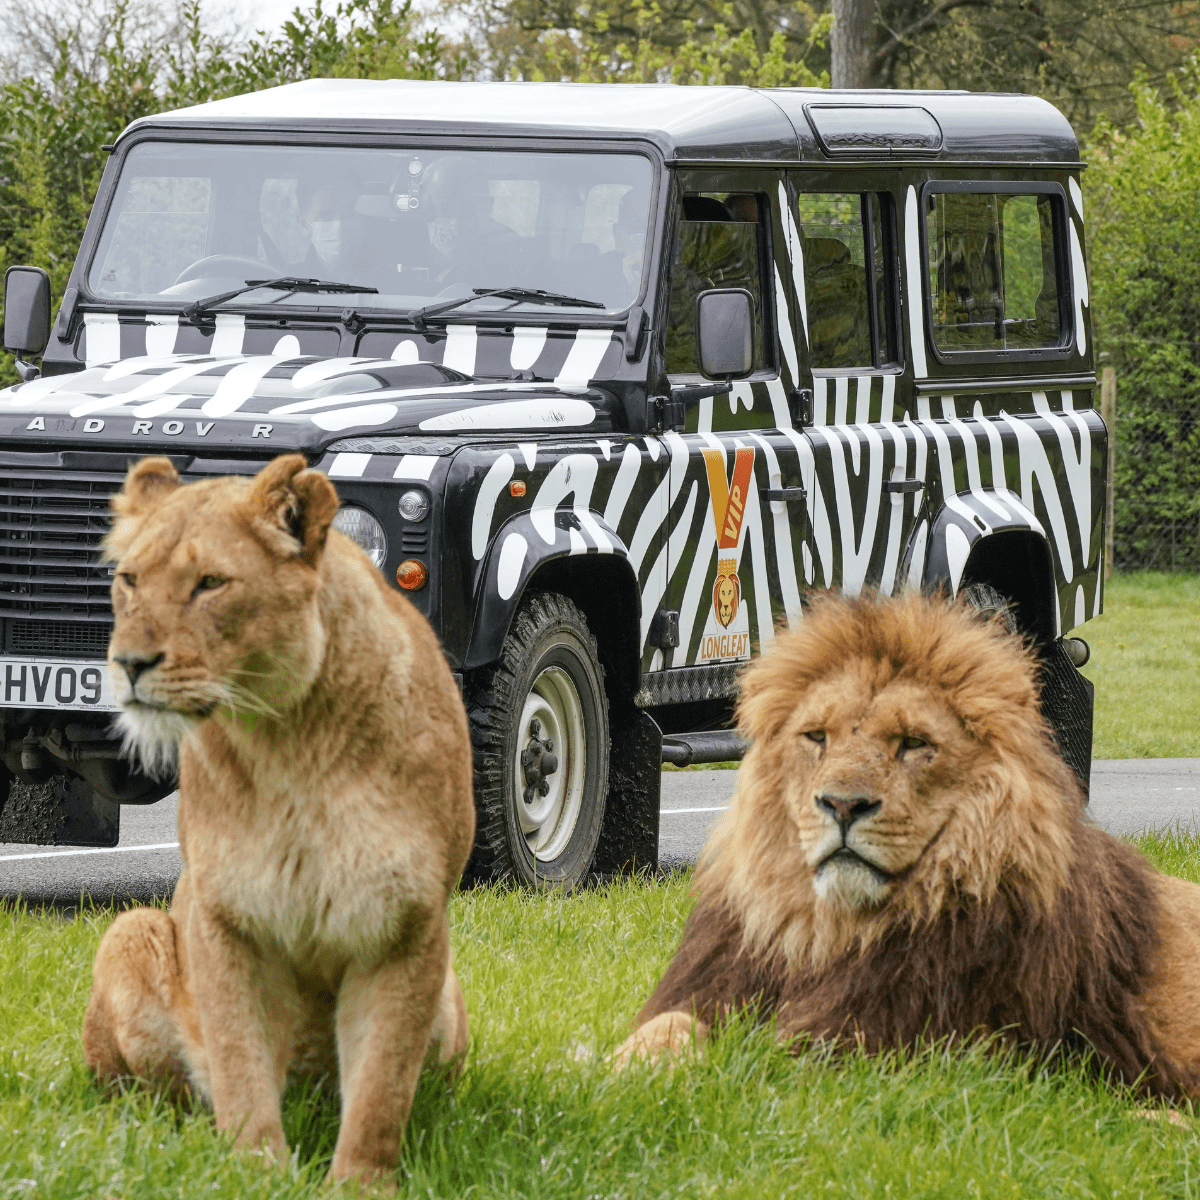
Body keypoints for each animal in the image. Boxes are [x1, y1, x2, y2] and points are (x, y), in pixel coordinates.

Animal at [81, 455, 475, 1187]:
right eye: (129, 580)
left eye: (210, 583)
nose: (129, 664)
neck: (289, 738)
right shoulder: (226, 921)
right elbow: (241, 1064)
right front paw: (254, 1171)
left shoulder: (406, 929)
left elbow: (380, 1087)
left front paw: (359, 1185)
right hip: (132, 932)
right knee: (159, 1095)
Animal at [616, 592, 1200, 1098]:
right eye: (817, 736)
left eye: (914, 744)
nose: (842, 805)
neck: (825, 933)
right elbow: (669, 1024)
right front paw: (614, 1070)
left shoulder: (896, 1047)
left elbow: (758, 1063)